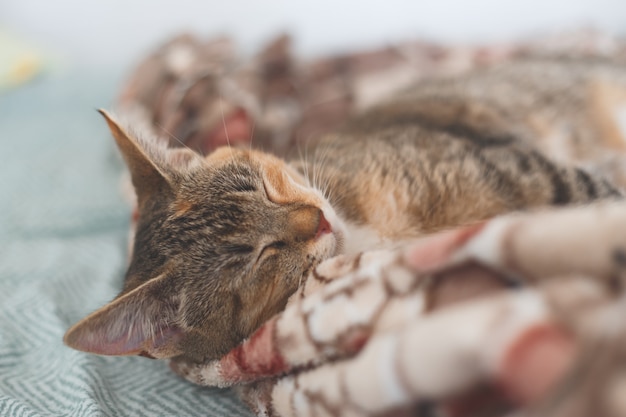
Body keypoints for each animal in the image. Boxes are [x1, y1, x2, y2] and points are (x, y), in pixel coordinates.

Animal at [66, 56, 620, 364]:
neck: (363, 229)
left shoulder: (520, 168)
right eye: (257, 257)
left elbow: (600, 188)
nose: (317, 219)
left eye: (265, 187)